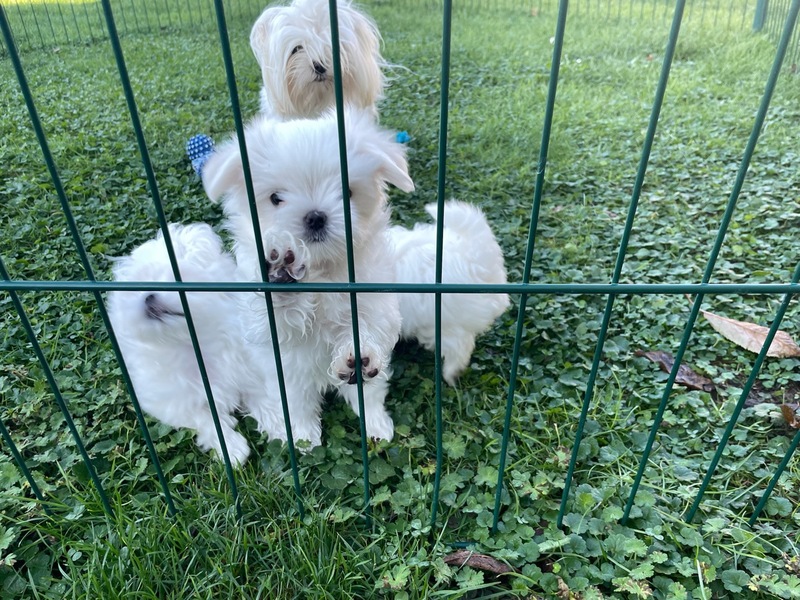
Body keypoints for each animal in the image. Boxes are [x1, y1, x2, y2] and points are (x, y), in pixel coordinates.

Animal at [107, 223, 267, 466]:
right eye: (135, 288)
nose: (148, 297)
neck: (191, 344)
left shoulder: (253, 371)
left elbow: (268, 400)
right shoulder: (172, 400)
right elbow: (205, 417)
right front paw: (232, 447)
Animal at [202, 109, 414, 448]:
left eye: (347, 192)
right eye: (276, 198)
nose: (315, 216)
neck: (324, 270)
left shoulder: (378, 298)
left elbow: (370, 324)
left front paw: (359, 355)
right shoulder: (265, 329)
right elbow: (280, 320)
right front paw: (281, 276)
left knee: (368, 394)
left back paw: (375, 422)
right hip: (285, 381)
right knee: (297, 405)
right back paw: (303, 437)